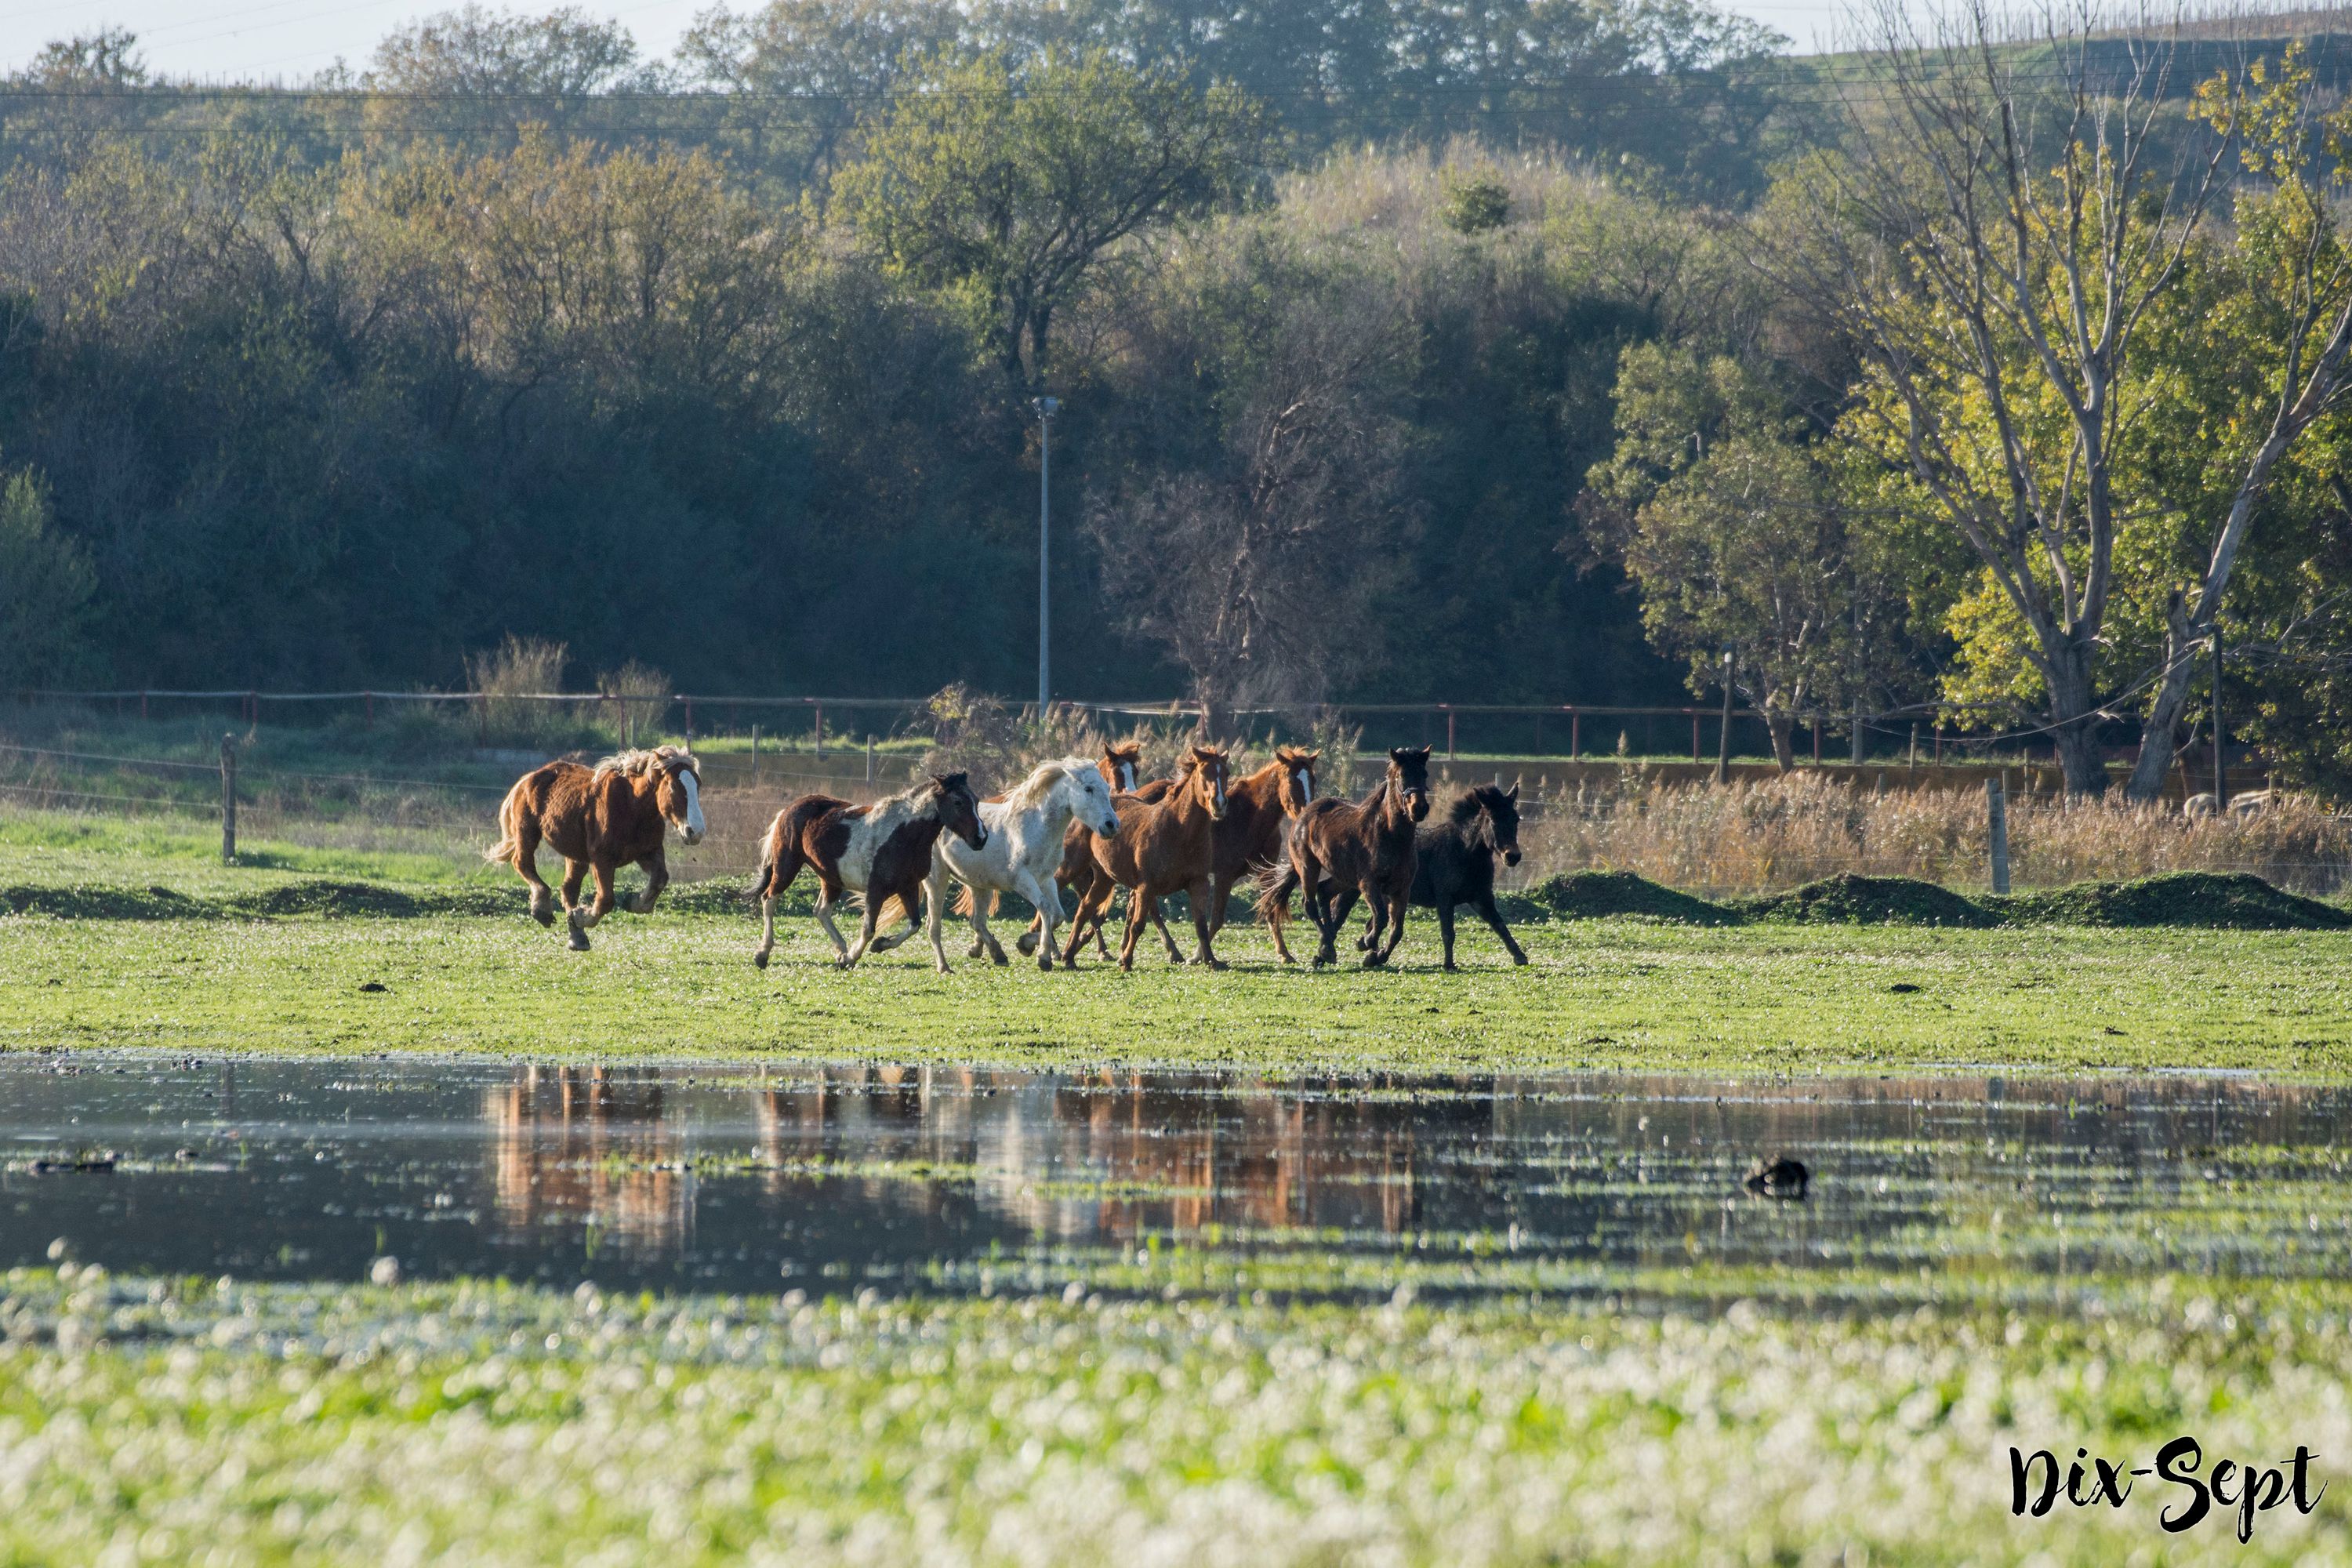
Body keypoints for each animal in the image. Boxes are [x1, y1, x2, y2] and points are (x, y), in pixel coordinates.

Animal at [486, 745, 705, 951]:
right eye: (673, 785)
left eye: (698, 785)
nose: (696, 831)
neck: (632, 805)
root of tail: (527, 780)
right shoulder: (602, 860)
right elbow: (606, 900)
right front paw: (582, 916)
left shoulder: (648, 852)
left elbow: (659, 880)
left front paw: (632, 901)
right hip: (527, 833)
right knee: (523, 864)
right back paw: (542, 909)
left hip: (576, 855)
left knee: (568, 889)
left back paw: (577, 937)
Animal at [749, 773, 986, 970]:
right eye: (958, 802)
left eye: (975, 801)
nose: (981, 838)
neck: (903, 834)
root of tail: (787, 810)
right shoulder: (876, 891)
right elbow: (868, 928)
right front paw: (852, 957)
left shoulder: (908, 887)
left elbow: (914, 925)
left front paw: (879, 945)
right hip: (787, 866)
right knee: (769, 899)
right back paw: (763, 954)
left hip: (831, 878)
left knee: (821, 911)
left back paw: (841, 951)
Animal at [931, 757, 1121, 972]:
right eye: (1088, 789)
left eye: (1107, 788)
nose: (1111, 825)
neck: (1035, 827)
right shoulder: (1022, 881)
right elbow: (1045, 908)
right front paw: (1043, 956)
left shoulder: (1047, 879)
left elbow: (1058, 915)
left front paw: (1026, 944)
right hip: (938, 879)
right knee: (941, 923)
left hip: (979, 886)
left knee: (977, 921)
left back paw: (990, 952)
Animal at [1061, 746, 1233, 970]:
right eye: (1204, 773)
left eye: (1226, 773)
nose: (1219, 804)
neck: (1179, 832)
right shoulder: (1146, 886)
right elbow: (1138, 925)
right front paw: (1126, 961)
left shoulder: (1199, 883)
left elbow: (1201, 925)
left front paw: (1211, 960)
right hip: (1072, 866)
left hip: (1104, 878)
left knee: (1084, 909)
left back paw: (1068, 956)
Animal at [1276, 746, 1432, 968]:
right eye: (1402, 775)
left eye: (1424, 774)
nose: (1419, 808)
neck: (1390, 836)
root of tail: (1304, 814)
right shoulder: (1368, 884)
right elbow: (1381, 918)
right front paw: (1365, 943)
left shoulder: (1402, 889)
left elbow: (1397, 930)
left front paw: (1376, 956)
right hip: (1308, 867)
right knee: (1310, 904)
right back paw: (1326, 948)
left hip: (1344, 877)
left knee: (1324, 893)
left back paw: (1325, 947)